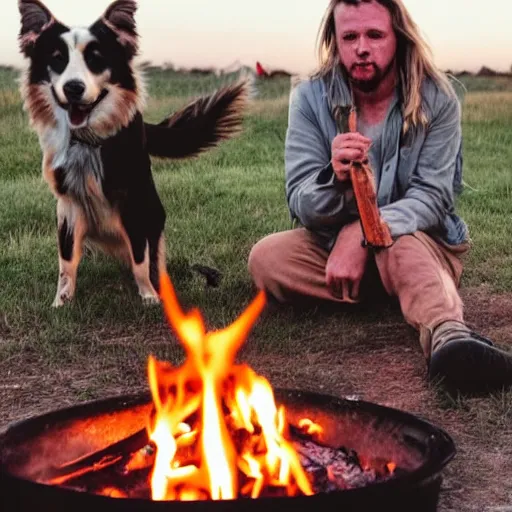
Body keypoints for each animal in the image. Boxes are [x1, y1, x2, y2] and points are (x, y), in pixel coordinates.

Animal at [19, 0, 251, 304]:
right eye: (57, 58)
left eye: (96, 59)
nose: (73, 88)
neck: (88, 139)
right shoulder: (67, 204)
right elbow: (66, 260)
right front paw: (61, 301)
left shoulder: (134, 198)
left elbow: (141, 257)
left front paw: (149, 296)